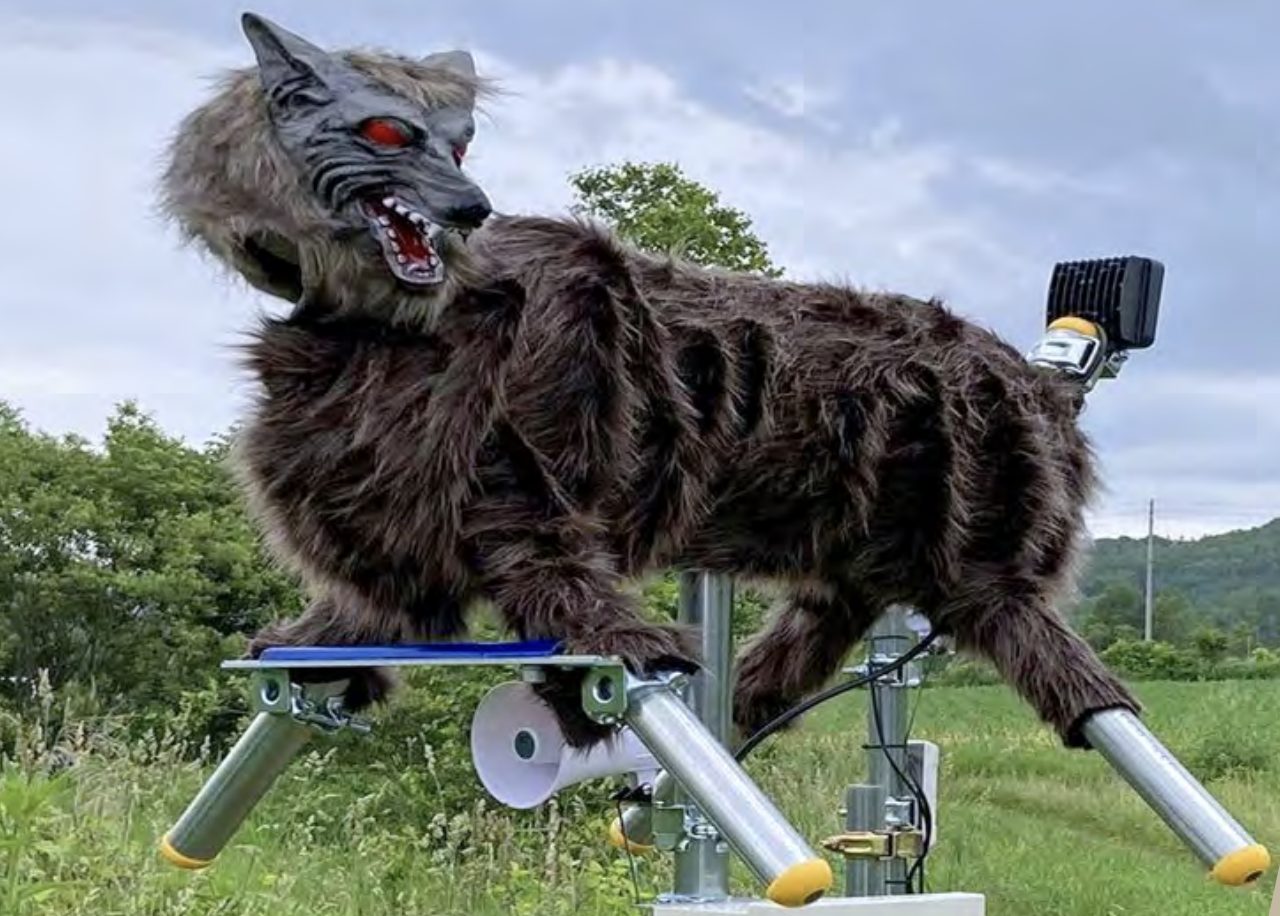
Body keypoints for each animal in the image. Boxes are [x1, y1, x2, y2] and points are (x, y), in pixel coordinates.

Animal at [159, 12, 1140, 749]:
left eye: (462, 146)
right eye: (386, 131)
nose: (471, 210)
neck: (371, 333)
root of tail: (1041, 382)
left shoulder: (525, 499)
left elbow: (565, 591)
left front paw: (608, 669)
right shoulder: (403, 531)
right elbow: (376, 611)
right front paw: (312, 642)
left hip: (986, 559)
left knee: (1069, 668)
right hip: (858, 553)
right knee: (812, 632)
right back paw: (745, 698)